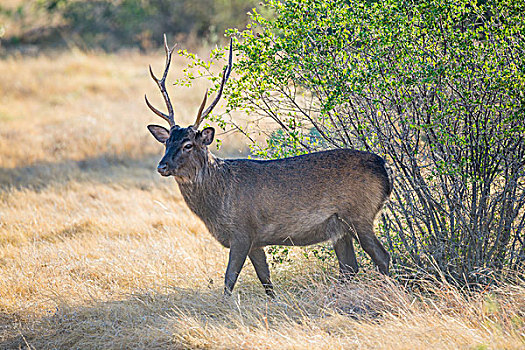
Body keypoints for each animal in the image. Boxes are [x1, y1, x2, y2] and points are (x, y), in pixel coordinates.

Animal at [145, 36, 390, 298]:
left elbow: (229, 280)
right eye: (166, 142)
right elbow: (266, 280)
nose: (162, 166)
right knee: (349, 268)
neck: (220, 200)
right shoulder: (256, 241)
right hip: (340, 227)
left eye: (188, 144)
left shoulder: (242, 231)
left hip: (359, 214)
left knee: (382, 257)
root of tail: (384, 170)